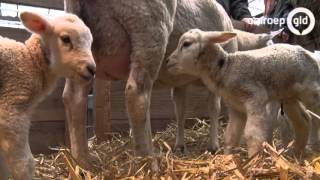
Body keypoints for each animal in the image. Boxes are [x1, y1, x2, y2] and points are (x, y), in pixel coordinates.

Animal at [0, 11, 95, 179]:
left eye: (90, 42)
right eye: (65, 39)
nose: (92, 69)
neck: (29, 60)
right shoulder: (11, 108)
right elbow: (25, 164)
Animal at [63, 0, 238, 169]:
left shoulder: (180, 80)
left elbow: (180, 110)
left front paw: (180, 145)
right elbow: (213, 108)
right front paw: (213, 146)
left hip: (80, 44)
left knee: (74, 98)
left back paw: (83, 164)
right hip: (148, 29)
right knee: (137, 96)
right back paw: (148, 162)